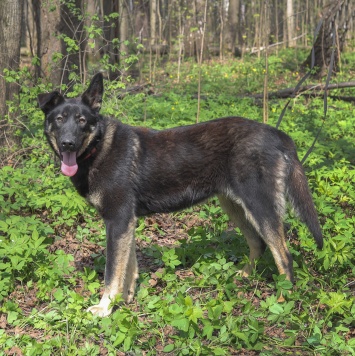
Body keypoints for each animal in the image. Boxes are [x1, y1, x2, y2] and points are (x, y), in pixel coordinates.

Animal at [38, 73, 322, 318]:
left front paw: (105, 307)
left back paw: (283, 300)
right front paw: (127, 299)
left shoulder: (117, 220)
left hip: (259, 205)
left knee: (283, 255)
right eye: (60, 119)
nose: (67, 144)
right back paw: (243, 277)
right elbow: (128, 267)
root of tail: (278, 134)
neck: (97, 148)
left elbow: (111, 272)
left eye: (82, 121)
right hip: (234, 206)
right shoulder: (126, 223)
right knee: (258, 244)